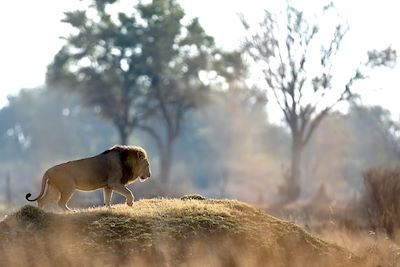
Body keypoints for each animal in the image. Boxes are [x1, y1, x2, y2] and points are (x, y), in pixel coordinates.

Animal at [24, 147, 152, 211]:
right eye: (147, 165)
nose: (150, 175)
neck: (126, 161)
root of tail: (48, 170)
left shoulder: (108, 186)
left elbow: (108, 198)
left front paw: (110, 208)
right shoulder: (114, 182)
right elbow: (128, 192)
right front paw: (130, 203)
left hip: (54, 189)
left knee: (42, 201)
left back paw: (41, 214)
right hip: (68, 188)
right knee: (60, 203)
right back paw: (70, 212)